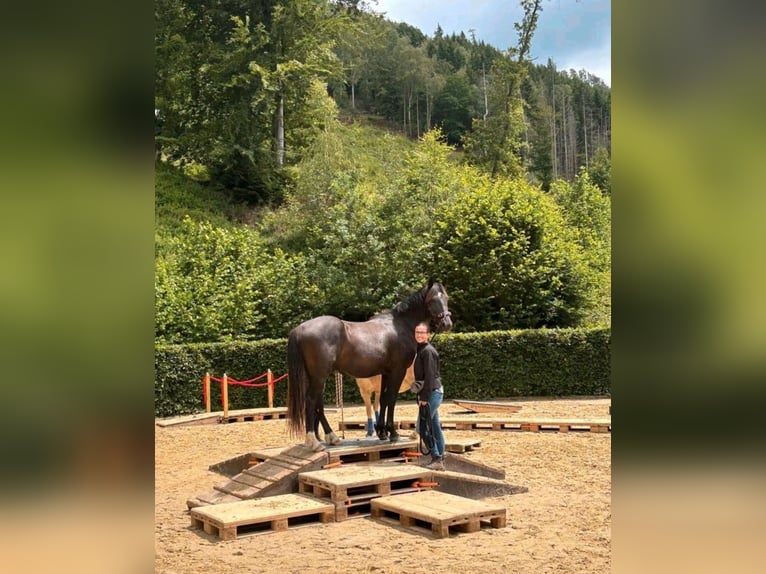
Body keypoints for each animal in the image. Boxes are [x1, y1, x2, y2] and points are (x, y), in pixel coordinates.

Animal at [287, 280, 452, 451]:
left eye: (446, 297)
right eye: (432, 299)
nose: (447, 323)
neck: (401, 325)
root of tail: (298, 329)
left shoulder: (386, 372)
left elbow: (383, 399)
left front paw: (382, 432)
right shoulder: (397, 371)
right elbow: (391, 398)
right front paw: (393, 433)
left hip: (314, 377)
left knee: (318, 403)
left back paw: (332, 437)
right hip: (319, 376)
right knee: (311, 401)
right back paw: (314, 442)